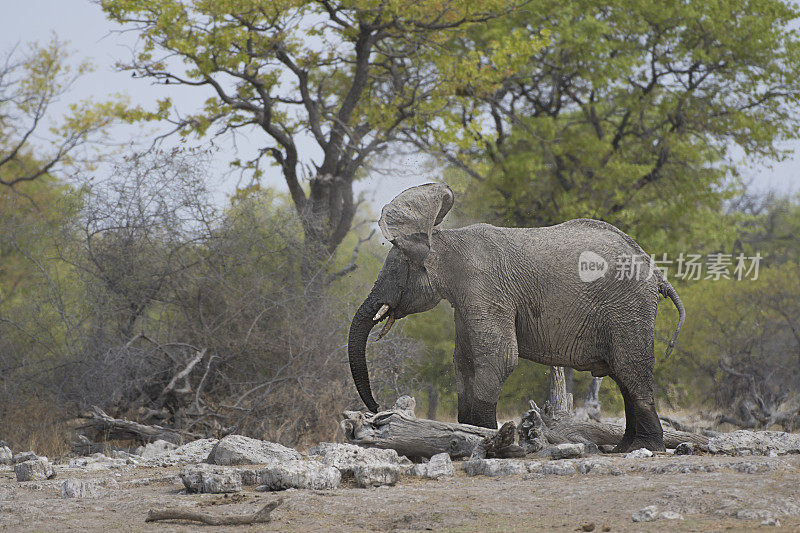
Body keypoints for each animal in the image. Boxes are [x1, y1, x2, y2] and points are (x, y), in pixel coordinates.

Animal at [346, 182, 684, 448]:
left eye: (395, 270)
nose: (377, 408)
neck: (444, 239)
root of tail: (655, 271)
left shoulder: (485, 291)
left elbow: (499, 359)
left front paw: (482, 436)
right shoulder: (467, 302)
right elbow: (463, 362)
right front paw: (468, 430)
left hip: (628, 306)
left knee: (630, 372)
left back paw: (643, 448)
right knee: (625, 377)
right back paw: (627, 447)